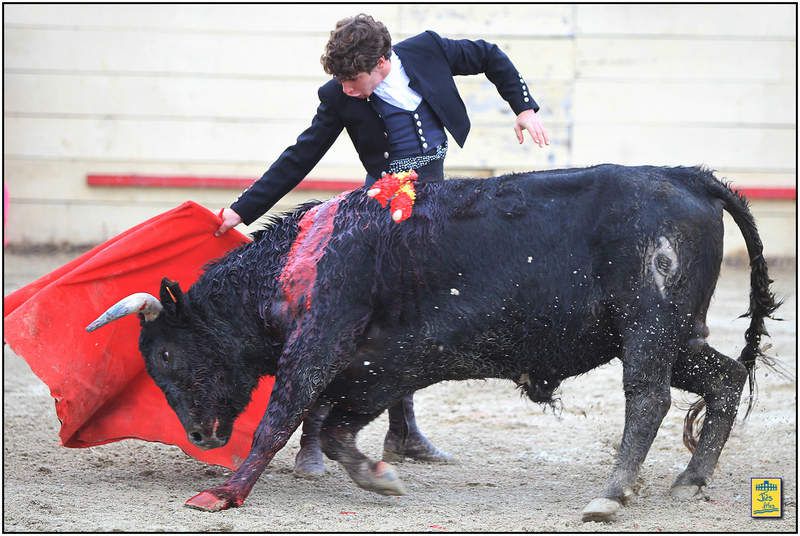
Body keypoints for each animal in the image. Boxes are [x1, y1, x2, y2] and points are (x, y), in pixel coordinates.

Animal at [86, 165, 776, 520]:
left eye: (166, 354)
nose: (200, 436)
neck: (304, 261)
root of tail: (688, 177)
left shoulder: (321, 344)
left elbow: (281, 417)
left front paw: (223, 493)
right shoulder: (386, 364)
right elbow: (335, 429)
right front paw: (379, 476)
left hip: (648, 329)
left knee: (648, 398)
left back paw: (609, 495)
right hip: (675, 336)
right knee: (722, 379)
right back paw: (690, 480)